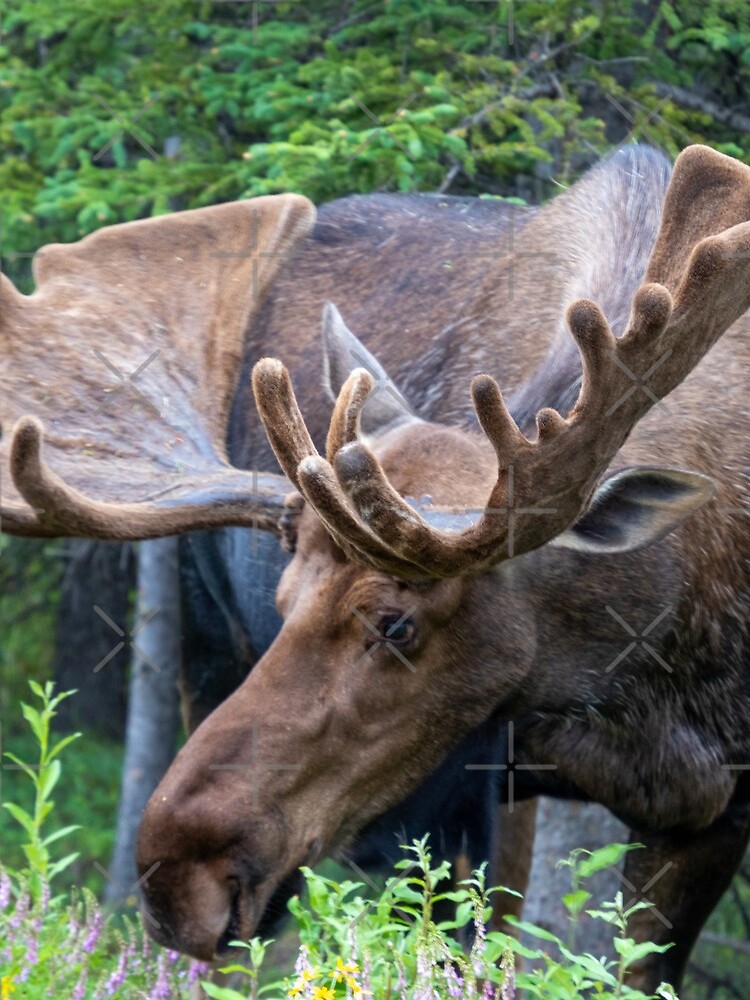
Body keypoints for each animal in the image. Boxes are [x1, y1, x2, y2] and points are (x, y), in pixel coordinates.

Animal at [4, 145, 750, 996]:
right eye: (283, 596)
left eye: (396, 624)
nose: (173, 874)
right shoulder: (468, 790)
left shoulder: (715, 808)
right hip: (208, 653)